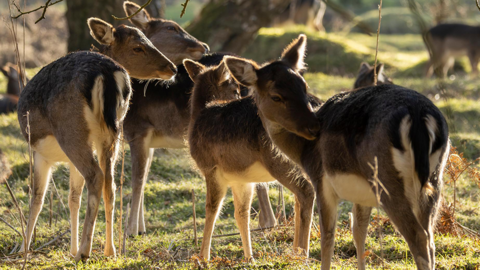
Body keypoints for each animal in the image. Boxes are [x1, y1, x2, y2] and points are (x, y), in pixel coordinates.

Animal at [17, 16, 177, 262]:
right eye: (138, 47)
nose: (173, 67)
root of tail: (107, 73)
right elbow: (73, 197)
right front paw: (70, 248)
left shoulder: (40, 152)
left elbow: (37, 198)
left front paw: (24, 250)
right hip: (111, 134)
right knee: (110, 184)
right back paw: (110, 250)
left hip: (71, 132)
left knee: (96, 177)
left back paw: (85, 251)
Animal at [121, 1, 278, 235]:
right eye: (171, 28)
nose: (203, 45)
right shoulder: (148, 140)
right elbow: (145, 176)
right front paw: (140, 228)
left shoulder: (138, 130)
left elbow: (137, 180)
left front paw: (131, 230)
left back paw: (266, 224)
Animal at [185, 40, 322, 262]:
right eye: (235, 89)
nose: (239, 93)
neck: (198, 114)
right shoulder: (242, 179)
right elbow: (242, 214)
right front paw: (250, 257)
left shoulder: (211, 168)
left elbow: (211, 209)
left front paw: (203, 257)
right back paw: (296, 251)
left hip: (278, 160)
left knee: (305, 191)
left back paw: (301, 253)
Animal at [225, 34, 450, 268]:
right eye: (276, 96)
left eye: (304, 86)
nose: (314, 127)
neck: (302, 152)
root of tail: (419, 116)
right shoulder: (362, 194)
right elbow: (358, 231)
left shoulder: (321, 181)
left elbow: (328, 237)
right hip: (434, 181)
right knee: (431, 238)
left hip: (386, 181)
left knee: (419, 237)